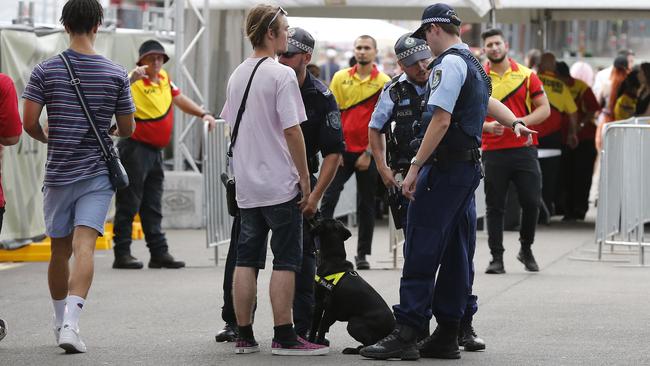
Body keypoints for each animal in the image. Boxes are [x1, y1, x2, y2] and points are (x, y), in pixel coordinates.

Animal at [308, 219, 394, 354]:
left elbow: (318, 327)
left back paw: (354, 349)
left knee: (369, 343)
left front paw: (315, 343)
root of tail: (392, 327)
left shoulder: (322, 305)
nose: (313, 219)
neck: (334, 258)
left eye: (321, 221)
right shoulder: (330, 312)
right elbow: (321, 326)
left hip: (354, 323)